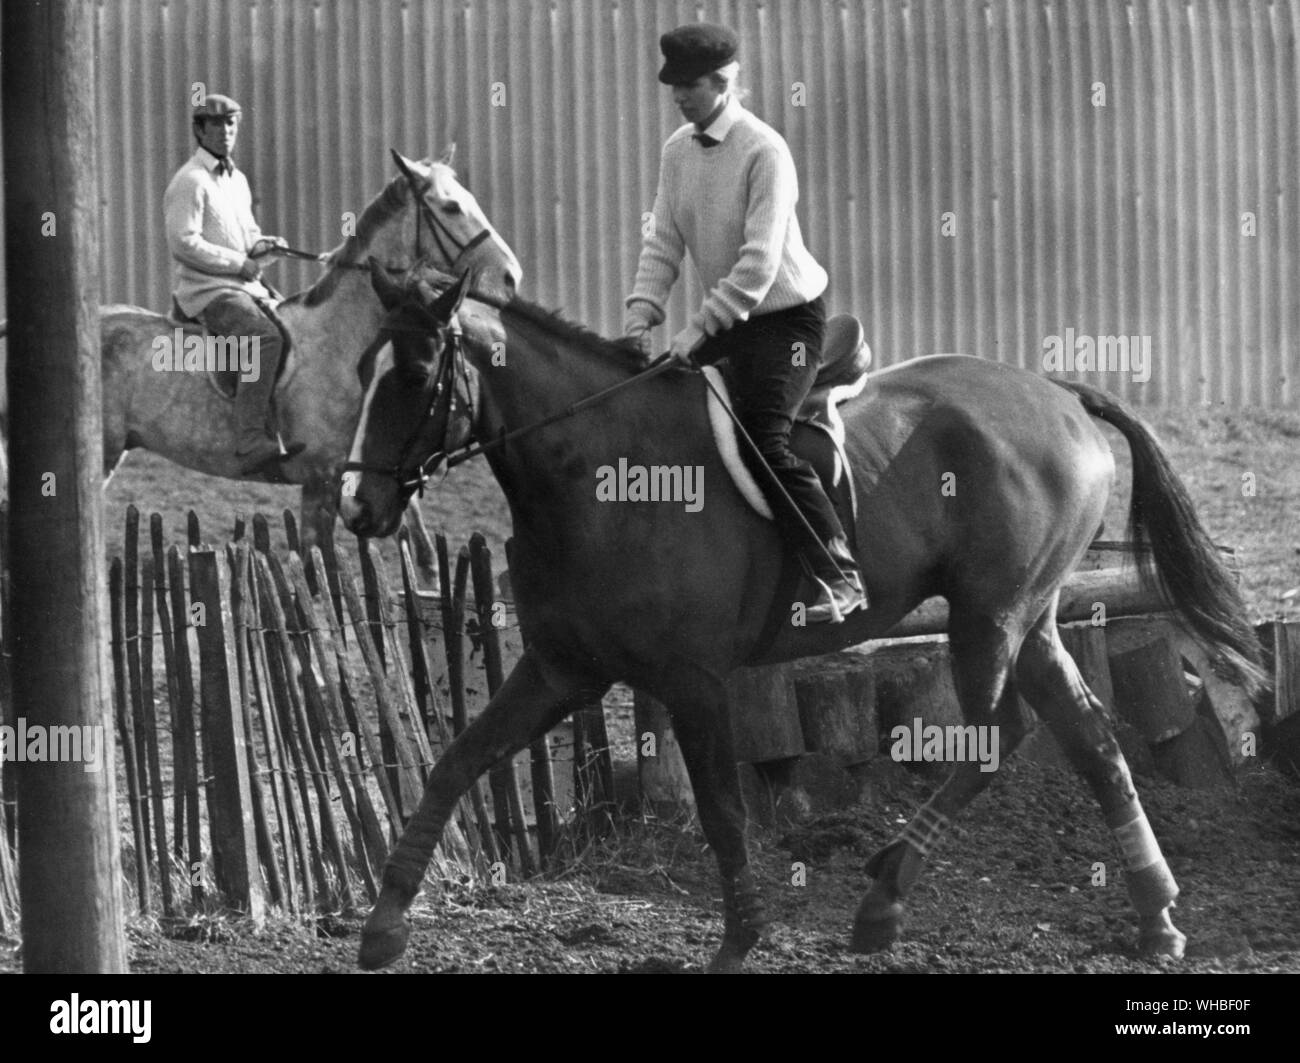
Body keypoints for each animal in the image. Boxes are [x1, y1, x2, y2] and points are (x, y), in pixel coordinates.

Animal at [340, 265, 1263, 966]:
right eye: (359, 372)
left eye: (414, 378)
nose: (356, 507)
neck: (594, 474)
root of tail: (1056, 393)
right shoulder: (560, 668)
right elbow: (453, 763)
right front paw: (384, 926)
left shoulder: (693, 681)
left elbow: (722, 812)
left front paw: (740, 939)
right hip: (1029, 620)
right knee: (1089, 738)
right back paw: (1155, 917)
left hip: (991, 615)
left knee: (998, 735)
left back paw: (885, 897)